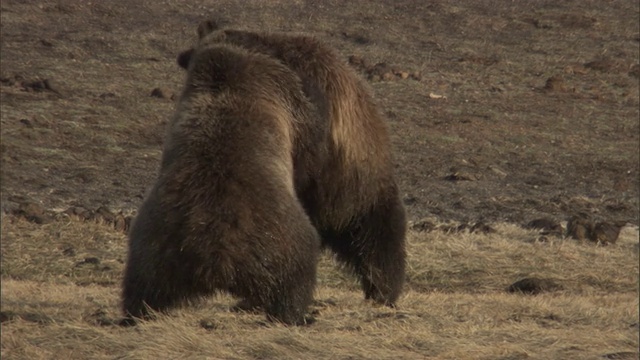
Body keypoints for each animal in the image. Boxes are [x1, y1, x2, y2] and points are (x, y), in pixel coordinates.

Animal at [122, 43, 328, 326]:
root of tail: (218, 253)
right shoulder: (284, 96)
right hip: (282, 234)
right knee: (296, 274)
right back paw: (297, 314)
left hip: (156, 243)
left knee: (143, 285)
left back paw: (135, 313)